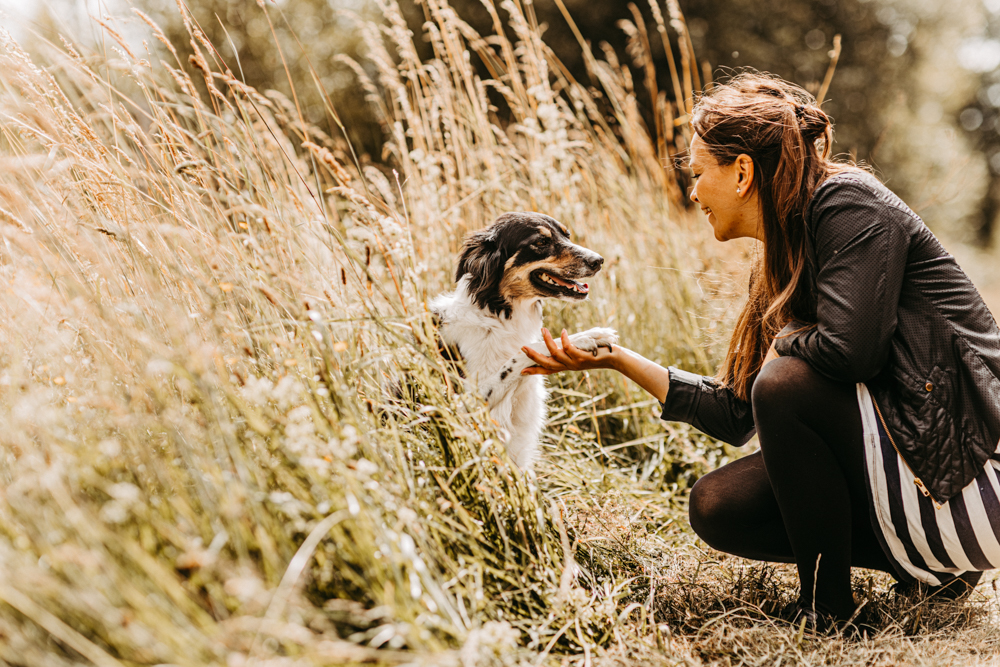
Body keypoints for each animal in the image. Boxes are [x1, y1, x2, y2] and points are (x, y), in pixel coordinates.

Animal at [430, 214, 616, 470]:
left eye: (567, 235)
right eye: (540, 242)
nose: (598, 260)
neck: (497, 317)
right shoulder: (462, 405)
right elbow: (521, 354)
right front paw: (587, 337)